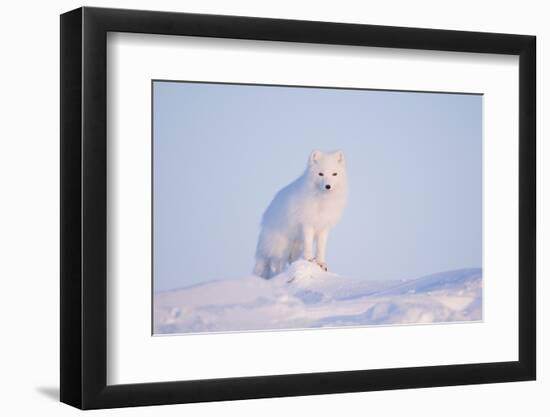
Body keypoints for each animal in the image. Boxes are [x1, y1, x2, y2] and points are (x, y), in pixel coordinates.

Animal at [253, 150, 348, 280]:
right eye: (320, 174)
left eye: (334, 174)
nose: (328, 186)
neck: (322, 202)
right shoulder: (307, 224)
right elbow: (308, 244)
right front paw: (309, 259)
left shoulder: (323, 227)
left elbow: (321, 247)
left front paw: (321, 263)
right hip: (281, 247)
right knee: (276, 265)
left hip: (293, 247)